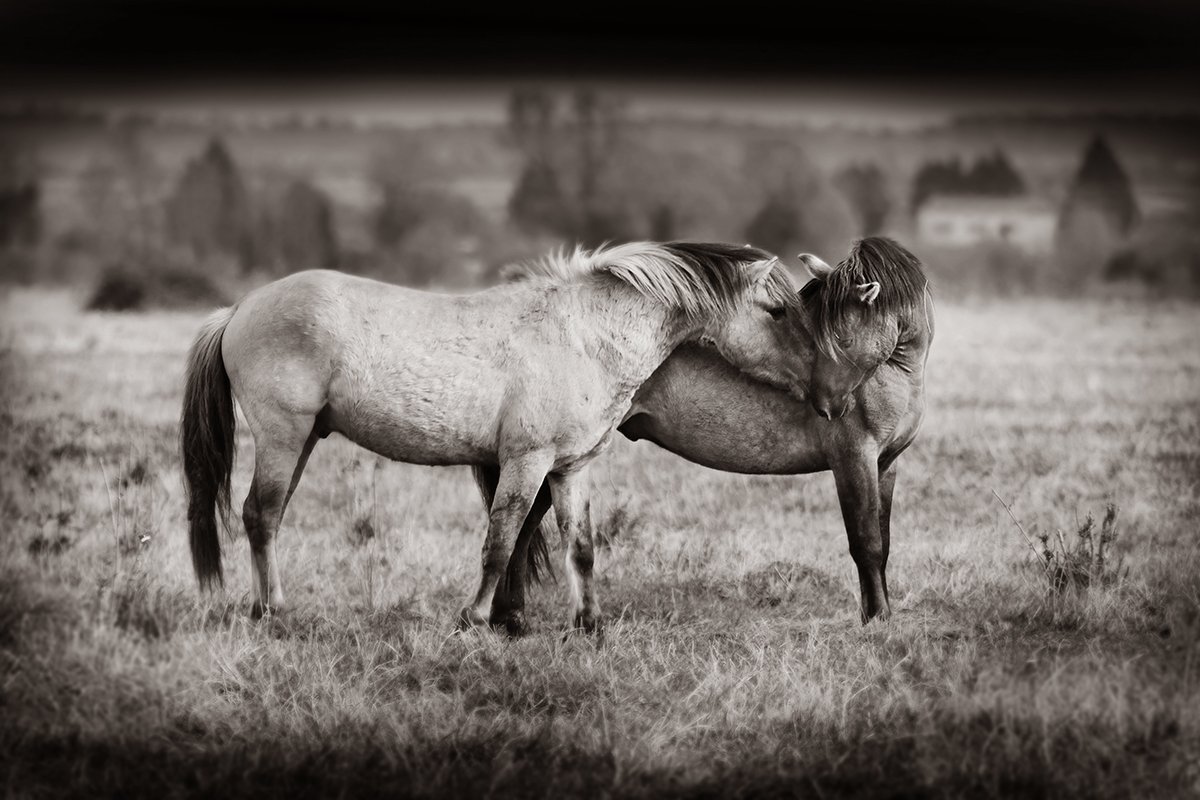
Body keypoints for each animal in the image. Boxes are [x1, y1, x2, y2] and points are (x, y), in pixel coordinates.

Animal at [179, 242, 812, 633]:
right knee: (260, 515)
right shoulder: (526, 462)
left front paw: (590, 624)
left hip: (306, 438)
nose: (817, 382)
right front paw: (475, 619)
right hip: (283, 435)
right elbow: (501, 543)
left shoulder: (570, 469)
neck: (583, 336)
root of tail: (239, 309)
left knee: (268, 517)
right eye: (777, 311)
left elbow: (580, 547)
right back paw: (271, 612)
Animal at [483, 237, 932, 630]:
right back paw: (511, 619)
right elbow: (866, 543)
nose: (827, 405)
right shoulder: (854, 460)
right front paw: (877, 619)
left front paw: (878, 612)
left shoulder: (885, 465)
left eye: (839, 337)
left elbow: (883, 541)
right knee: (520, 530)